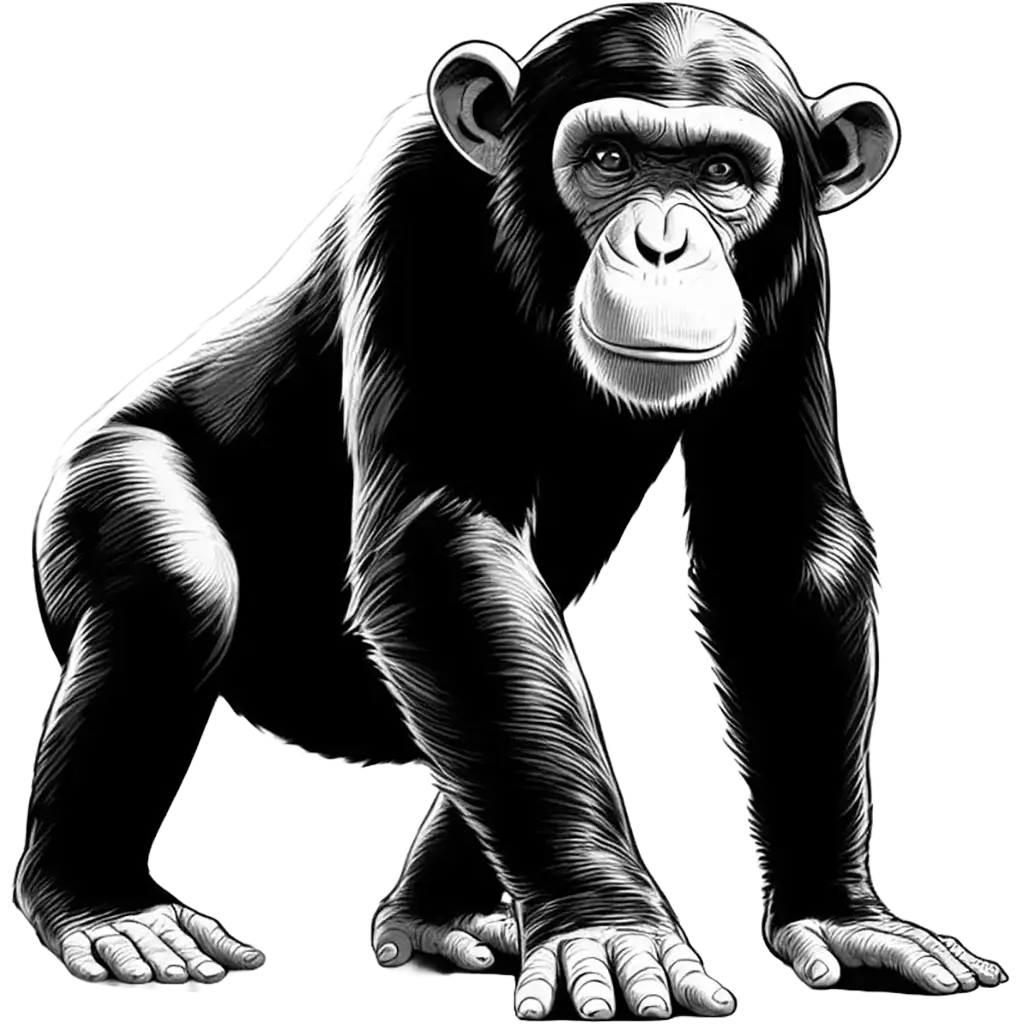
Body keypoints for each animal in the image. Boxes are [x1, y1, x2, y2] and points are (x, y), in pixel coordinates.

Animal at [14, 3, 1006, 1019]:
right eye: (610, 159)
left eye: (722, 175)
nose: (663, 244)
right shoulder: (412, 198)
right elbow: (441, 534)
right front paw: (610, 930)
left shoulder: (797, 275)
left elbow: (780, 552)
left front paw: (839, 913)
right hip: (90, 481)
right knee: (178, 583)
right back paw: (106, 907)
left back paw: (437, 918)